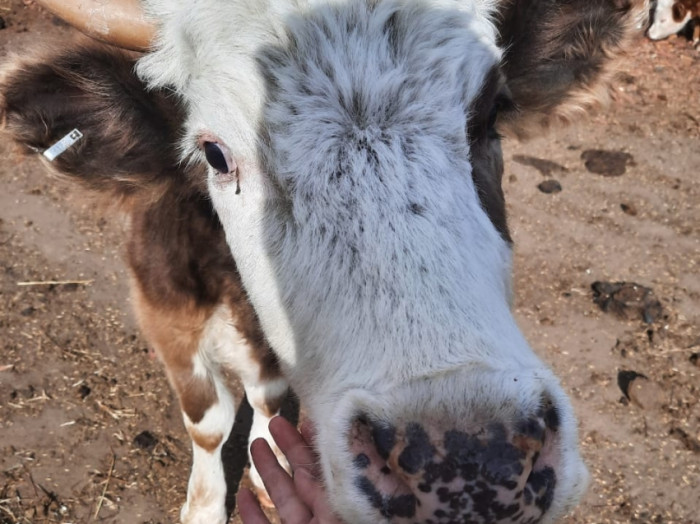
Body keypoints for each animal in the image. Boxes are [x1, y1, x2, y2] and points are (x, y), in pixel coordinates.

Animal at [0, 1, 648, 524]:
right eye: (214, 153)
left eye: (490, 113)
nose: (473, 466)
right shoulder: (166, 312)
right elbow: (207, 422)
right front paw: (205, 504)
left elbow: (265, 401)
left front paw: (267, 475)